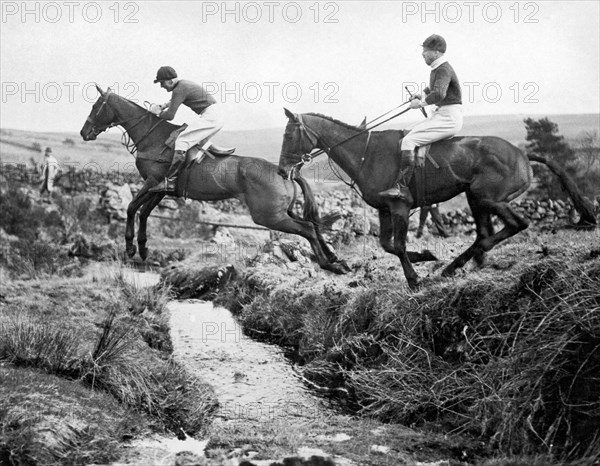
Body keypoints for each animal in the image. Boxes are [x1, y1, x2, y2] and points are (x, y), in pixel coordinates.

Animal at [81, 87, 352, 274]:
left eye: (95, 106)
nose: (84, 132)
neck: (152, 137)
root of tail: (285, 173)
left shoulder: (152, 182)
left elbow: (131, 208)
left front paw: (129, 248)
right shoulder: (162, 189)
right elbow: (144, 212)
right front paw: (143, 248)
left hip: (269, 216)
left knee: (307, 229)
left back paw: (328, 263)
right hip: (283, 211)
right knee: (312, 226)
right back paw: (334, 260)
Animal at [278, 109, 596, 288]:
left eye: (289, 136)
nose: (282, 171)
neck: (367, 153)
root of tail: (522, 154)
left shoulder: (400, 206)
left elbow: (398, 245)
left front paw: (414, 278)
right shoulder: (384, 210)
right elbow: (387, 245)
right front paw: (425, 257)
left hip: (487, 198)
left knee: (514, 225)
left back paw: (463, 262)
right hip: (475, 198)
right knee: (485, 232)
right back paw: (459, 264)